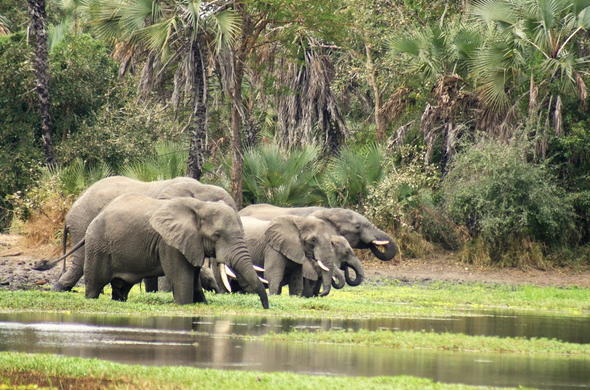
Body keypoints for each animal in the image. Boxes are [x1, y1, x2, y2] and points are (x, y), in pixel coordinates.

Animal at [82, 194, 268, 308]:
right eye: (217, 235)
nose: (266, 308)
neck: (201, 206)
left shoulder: (191, 243)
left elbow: (194, 279)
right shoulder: (169, 243)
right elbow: (182, 278)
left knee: (121, 287)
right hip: (97, 246)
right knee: (94, 286)